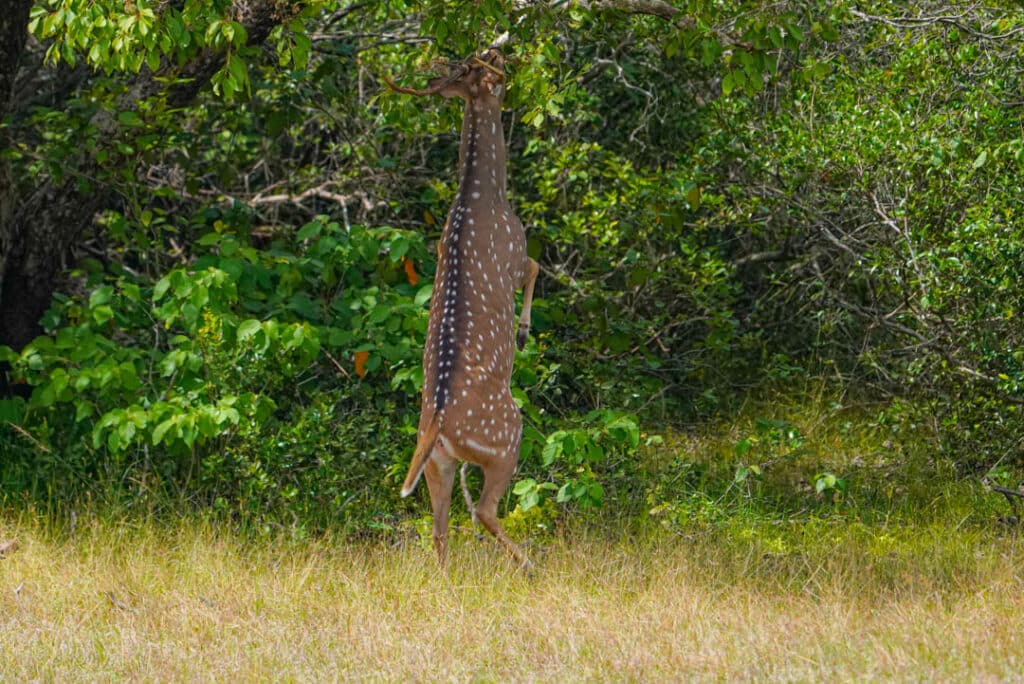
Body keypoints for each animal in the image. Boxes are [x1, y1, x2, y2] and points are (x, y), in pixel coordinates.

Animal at [385, 50, 540, 569]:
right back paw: (530, 565)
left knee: (439, 528)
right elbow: (536, 266)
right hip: (506, 434)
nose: (506, 62)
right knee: (484, 511)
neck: (486, 195)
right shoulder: (515, 251)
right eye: (493, 68)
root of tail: (436, 428)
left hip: (438, 464)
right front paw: (523, 332)